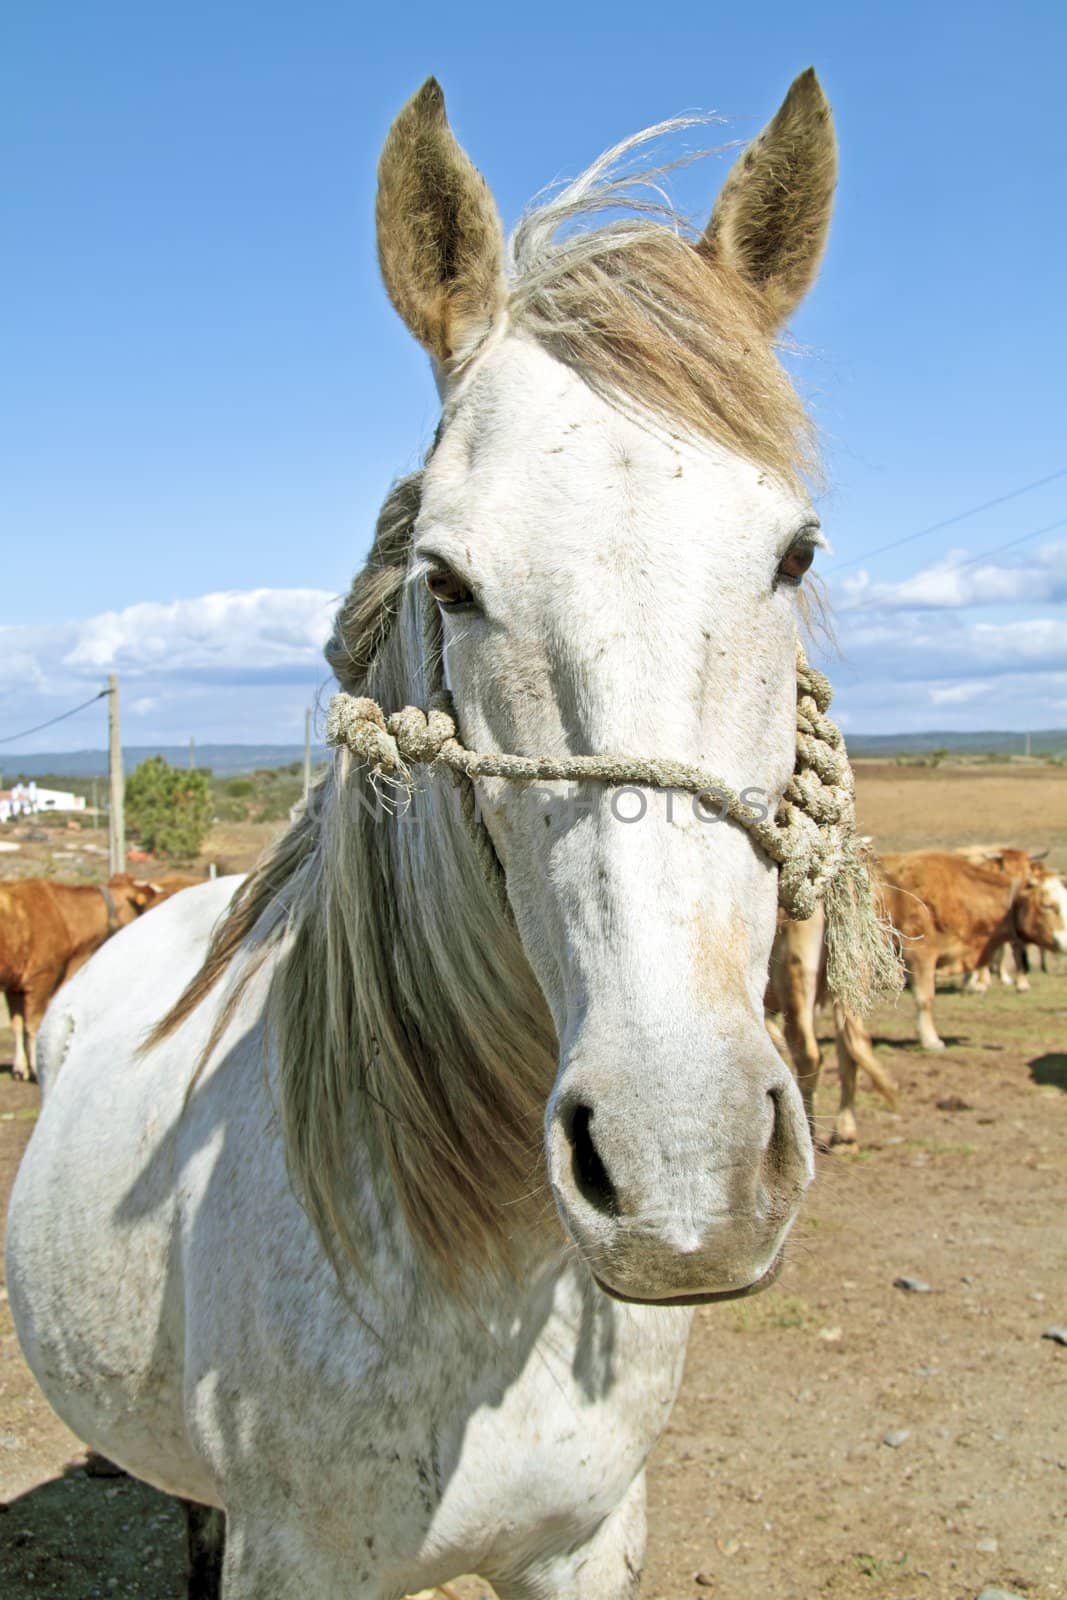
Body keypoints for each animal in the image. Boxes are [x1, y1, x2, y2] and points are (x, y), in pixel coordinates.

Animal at [0, 876, 168, 1088]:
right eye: (147, 907)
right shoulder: (42, 976)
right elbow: (32, 1025)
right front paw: (37, 1071)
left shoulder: (15, 985)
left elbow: (17, 1024)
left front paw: (20, 1069)